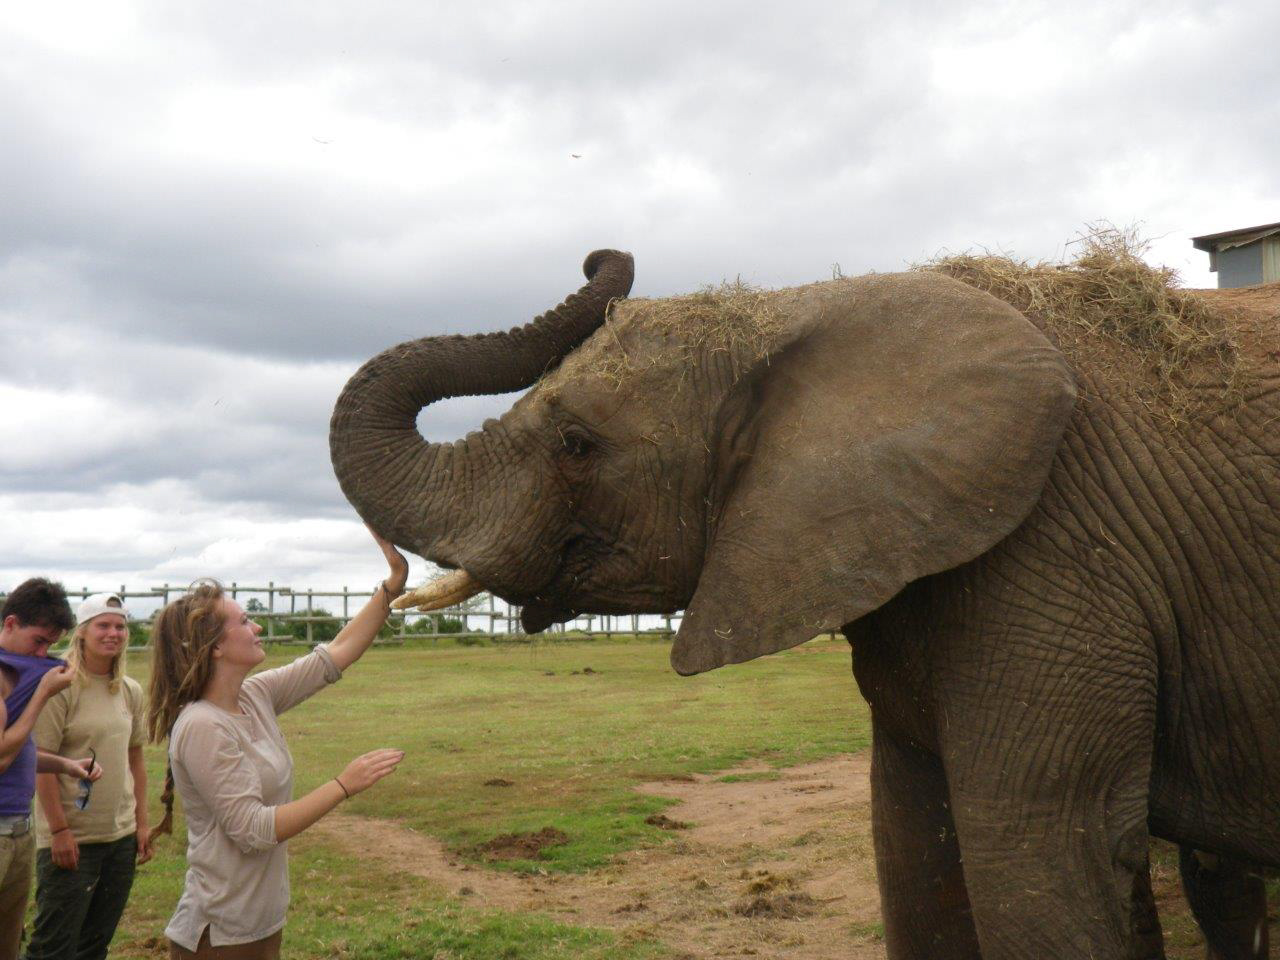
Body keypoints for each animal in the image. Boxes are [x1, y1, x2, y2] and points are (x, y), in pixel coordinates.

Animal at [332, 249, 1280, 960]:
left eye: (577, 444)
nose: (602, 257)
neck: (794, 313)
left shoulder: (1060, 552)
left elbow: (1044, 859)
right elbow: (913, 844)